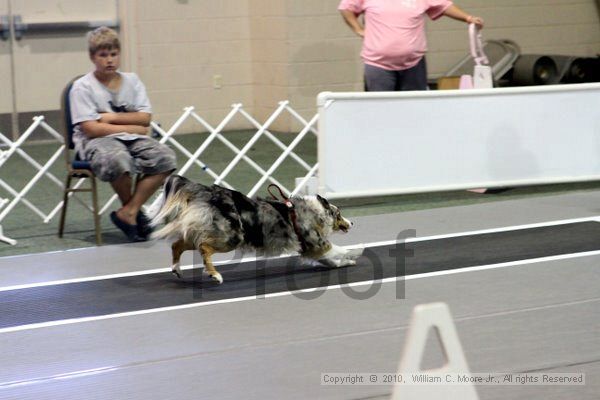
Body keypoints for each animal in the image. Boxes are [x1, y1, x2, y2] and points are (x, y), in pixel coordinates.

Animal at [148, 175, 358, 284]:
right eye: (339, 214)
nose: (352, 223)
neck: (316, 212)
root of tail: (209, 193)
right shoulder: (317, 243)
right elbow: (338, 249)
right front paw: (353, 254)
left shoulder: (311, 249)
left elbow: (332, 259)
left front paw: (345, 262)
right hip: (230, 237)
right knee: (204, 248)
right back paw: (214, 274)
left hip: (206, 229)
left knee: (178, 245)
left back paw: (177, 269)